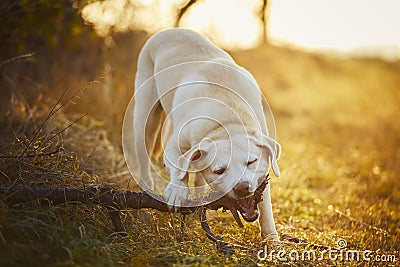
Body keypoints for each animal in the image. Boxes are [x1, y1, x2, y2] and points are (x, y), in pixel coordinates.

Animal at [133, 28, 280, 241]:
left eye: (251, 162)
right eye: (219, 171)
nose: (242, 187)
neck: (227, 120)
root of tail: (169, 30)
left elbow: (265, 206)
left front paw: (272, 241)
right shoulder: (174, 146)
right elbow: (180, 169)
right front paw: (177, 190)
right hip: (145, 120)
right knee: (145, 167)